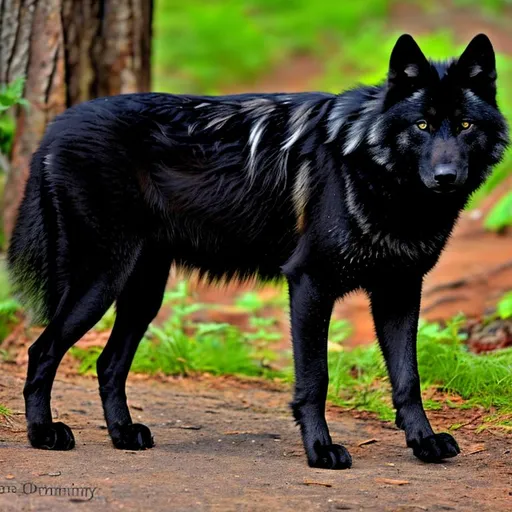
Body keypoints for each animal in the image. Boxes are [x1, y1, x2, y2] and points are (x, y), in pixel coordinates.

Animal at [8, 34, 508, 470]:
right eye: (422, 125)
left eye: (465, 125)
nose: (446, 177)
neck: (370, 166)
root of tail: (56, 127)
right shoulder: (309, 284)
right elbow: (315, 380)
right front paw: (321, 451)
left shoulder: (400, 291)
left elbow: (408, 379)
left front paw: (424, 443)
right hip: (101, 280)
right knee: (42, 350)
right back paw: (43, 434)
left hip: (143, 294)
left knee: (108, 364)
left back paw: (123, 435)